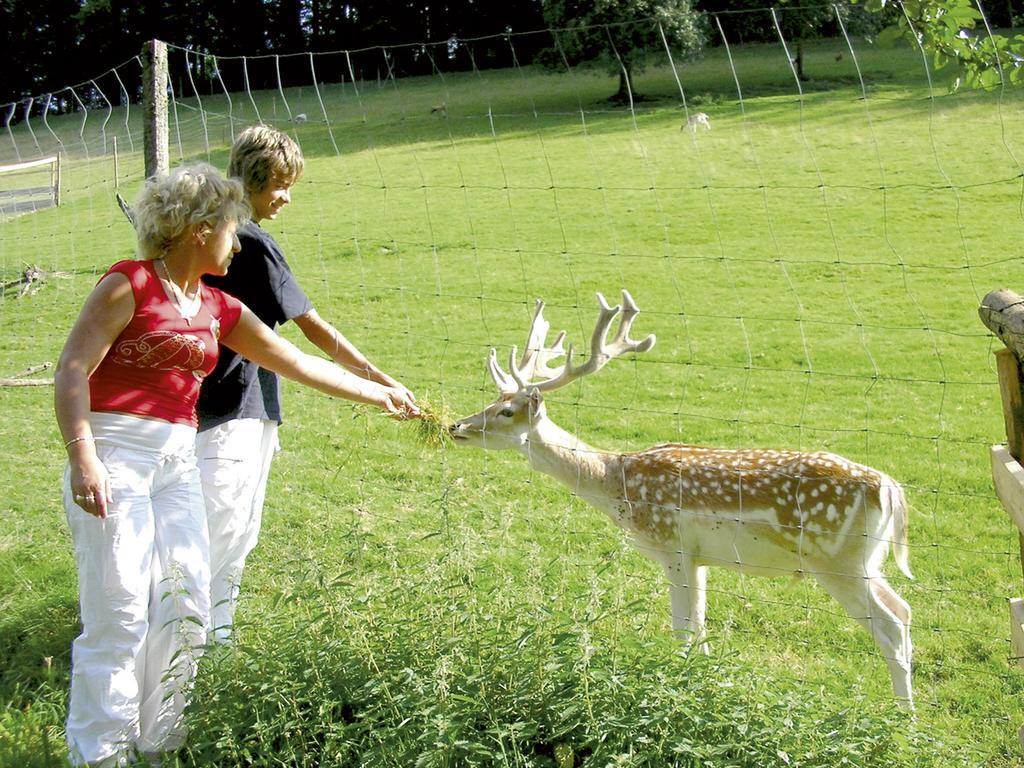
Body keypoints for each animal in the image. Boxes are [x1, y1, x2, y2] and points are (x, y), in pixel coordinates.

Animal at [452, 290, 917, 708]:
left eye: (507, 411)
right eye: (493, 400)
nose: (458, 426)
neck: (618, 486)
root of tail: (890, 489)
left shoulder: (672, 545)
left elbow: (681, 629)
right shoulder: (700, 558)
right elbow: (700, 630)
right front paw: (701, 687)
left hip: (837, 560)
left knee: (891, 626)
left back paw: (903, 721)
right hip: (867, 561)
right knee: (906, 609)